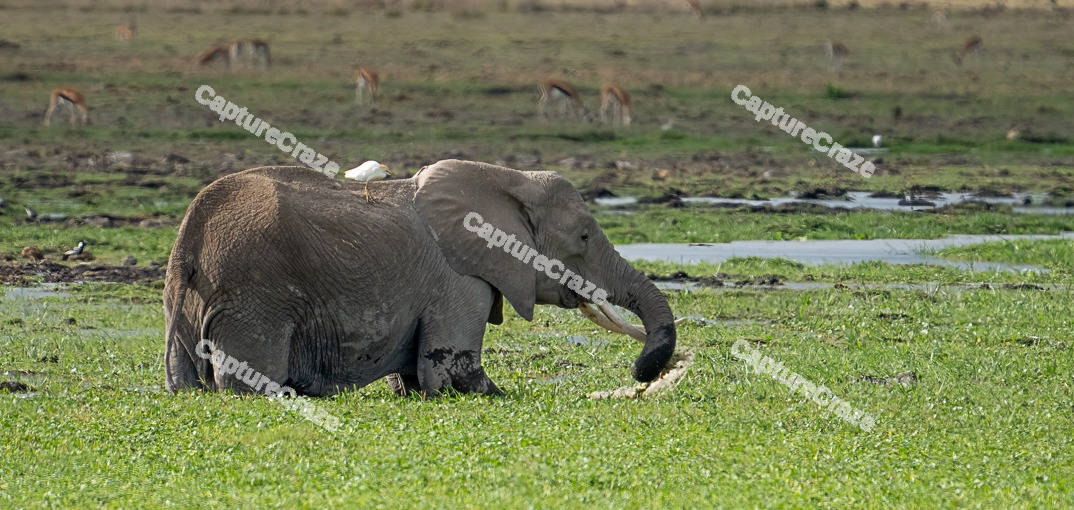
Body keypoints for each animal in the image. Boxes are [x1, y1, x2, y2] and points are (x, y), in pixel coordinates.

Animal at [164, 159, 677, 397]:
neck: (507, 179)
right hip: (254, 299)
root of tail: (189, 238)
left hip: (188, 301)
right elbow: (452, 373)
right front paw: (499, 394)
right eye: (584, 237)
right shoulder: (460, 282)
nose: (641, 371)